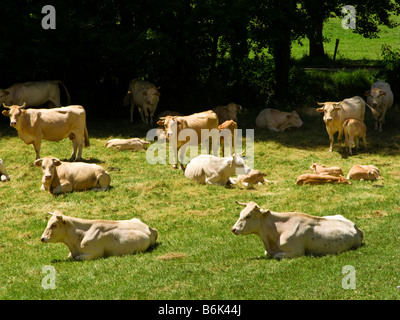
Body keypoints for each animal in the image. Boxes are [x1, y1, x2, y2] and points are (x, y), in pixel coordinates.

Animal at [230, 201, 364, 258]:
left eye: (248, 216)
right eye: (241, 213)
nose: (233, 229)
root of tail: (355, 226)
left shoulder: (298, 251)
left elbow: (276, 256)